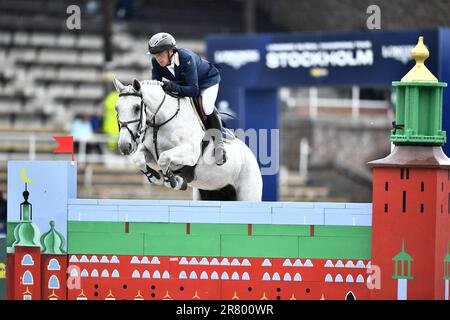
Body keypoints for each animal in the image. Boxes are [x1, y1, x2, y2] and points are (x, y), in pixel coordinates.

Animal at [111, 78, 264, 201]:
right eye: (116, 108)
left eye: (137, 108)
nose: (124, 146)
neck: (161, 122)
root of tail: (251, 157)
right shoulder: (150, 152)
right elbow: (138, 159)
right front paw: (155, 176)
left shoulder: (190, 153)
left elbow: (164, 158)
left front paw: (173, 180)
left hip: (248, 193)